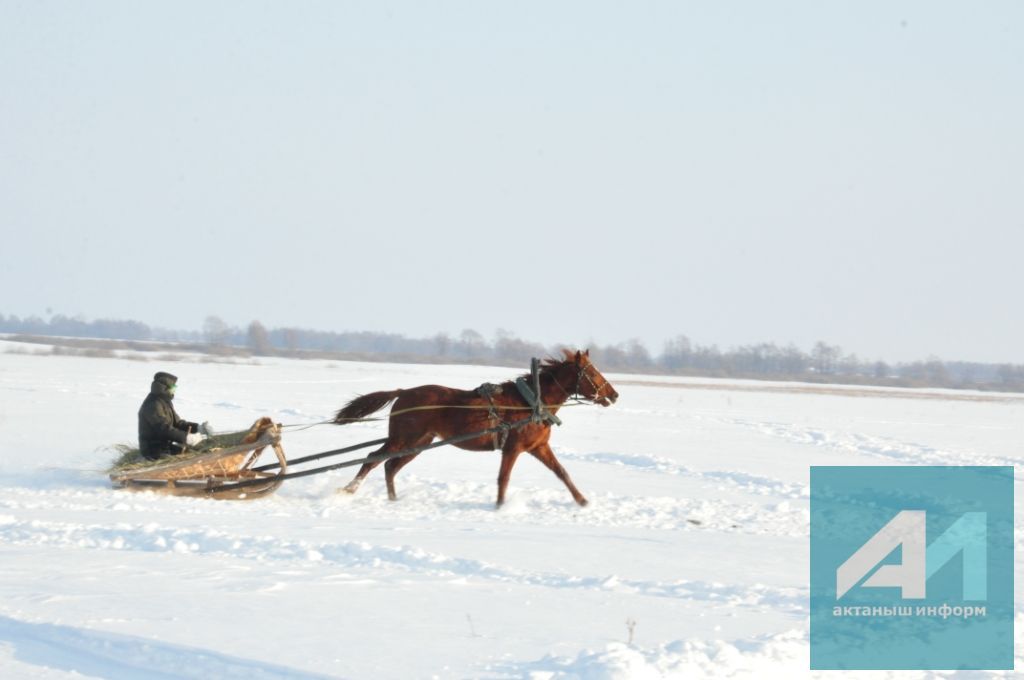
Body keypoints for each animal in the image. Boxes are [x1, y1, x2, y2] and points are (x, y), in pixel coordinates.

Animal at [335, 350, 618, 503]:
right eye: (593, 373)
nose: (614, 395)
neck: (531, 403)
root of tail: (403, 392)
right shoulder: (513, 448)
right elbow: (503, 478)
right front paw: (500, 506)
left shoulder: (538, 447)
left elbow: (562, 473)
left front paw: (582, 501)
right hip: (403, 438)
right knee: (373, 458)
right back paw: (348, 489)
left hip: (420, 442)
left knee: (390, 466)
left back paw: (393, 499)